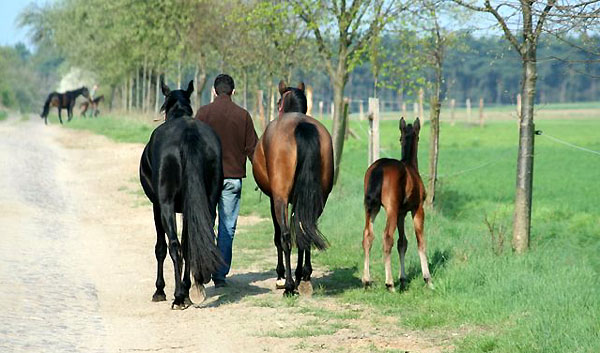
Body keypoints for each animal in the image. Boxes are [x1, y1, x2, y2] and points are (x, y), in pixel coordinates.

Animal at [139, 79, 224, 308]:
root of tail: (189, 135)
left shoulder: (157, 206)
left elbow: (161, 247)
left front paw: (160, 290)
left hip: (166, 205)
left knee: (174, 245)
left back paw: (178, 296)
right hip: (208, 201)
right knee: (190, 244)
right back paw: (187, 290)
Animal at [252, 80, 336, 294]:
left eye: (278, 102)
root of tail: (302, 126)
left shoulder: (274, 199)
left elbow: (278, 235)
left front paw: (281, 275)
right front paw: (300, 273)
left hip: (280, 199)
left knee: (286, 236)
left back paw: (289, 285)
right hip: (318, 199)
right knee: (306, 229)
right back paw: (303, 276)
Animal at [360, 117, 432, 290]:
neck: (410, 167)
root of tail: (378, 168)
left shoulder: (401, 213)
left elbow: (402, 243)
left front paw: (403, 278)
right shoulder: (417, 209)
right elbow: (420, 241)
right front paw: (427, 279)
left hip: (371, 208)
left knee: (367, 236)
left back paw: (366, 280)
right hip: (390, 210)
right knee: (387, 237)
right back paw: (389, 283)